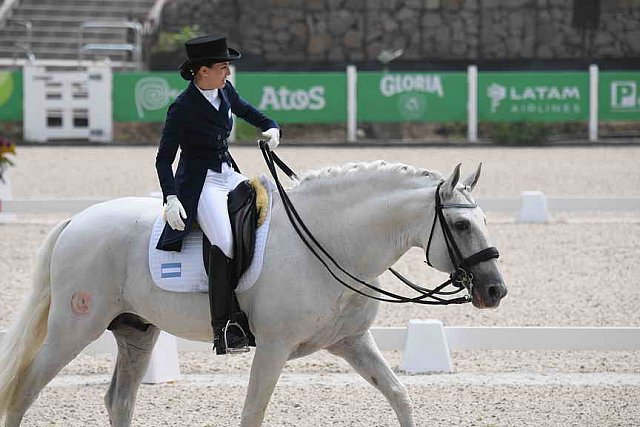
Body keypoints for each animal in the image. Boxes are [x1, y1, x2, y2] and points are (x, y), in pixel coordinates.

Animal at [0, 161, 504, 427]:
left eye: (482, 221)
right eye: (461, 225)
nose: (495, 290)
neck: (332, 240)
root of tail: (76, 221)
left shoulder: (351, 343)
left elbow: (399, 395)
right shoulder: (273, 348)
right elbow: (253, 413)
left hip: (136, 332)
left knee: (119, 400)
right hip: (74, 329)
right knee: (25, 387)